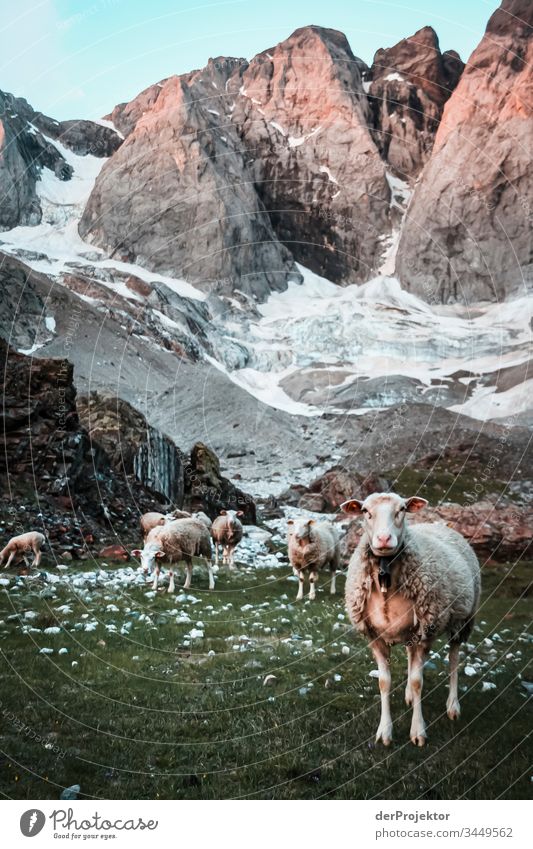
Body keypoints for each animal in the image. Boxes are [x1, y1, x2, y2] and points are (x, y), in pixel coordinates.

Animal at [340, 494, 482, 744]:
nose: (384, 539)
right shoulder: (374, 637)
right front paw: (384, 732)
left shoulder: (427, 631)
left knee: (454, 658)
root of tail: (439, 524)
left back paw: (453, 706)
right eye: (365, 511)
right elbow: (383, 682)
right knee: (410, 654)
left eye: (402, 509)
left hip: (461, 620)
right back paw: (408, 696)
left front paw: (418, 732)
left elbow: (418, 682)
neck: (386, 575)